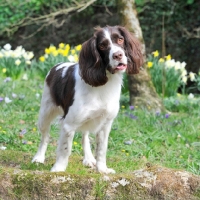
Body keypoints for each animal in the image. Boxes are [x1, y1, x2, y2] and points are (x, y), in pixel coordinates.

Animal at [32, 25, 143, 173]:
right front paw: (59, 168)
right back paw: (38, 158)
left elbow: (101, 149)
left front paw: (102, 169)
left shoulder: (105, 124)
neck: (105, 84)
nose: (118, 55)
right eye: (102, 45)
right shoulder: (68, 124)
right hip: (45, 114)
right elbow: (65, 149)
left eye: (120, 39)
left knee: (85, 136)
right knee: (45, 136)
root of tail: (56, 66)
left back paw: (89, 159)